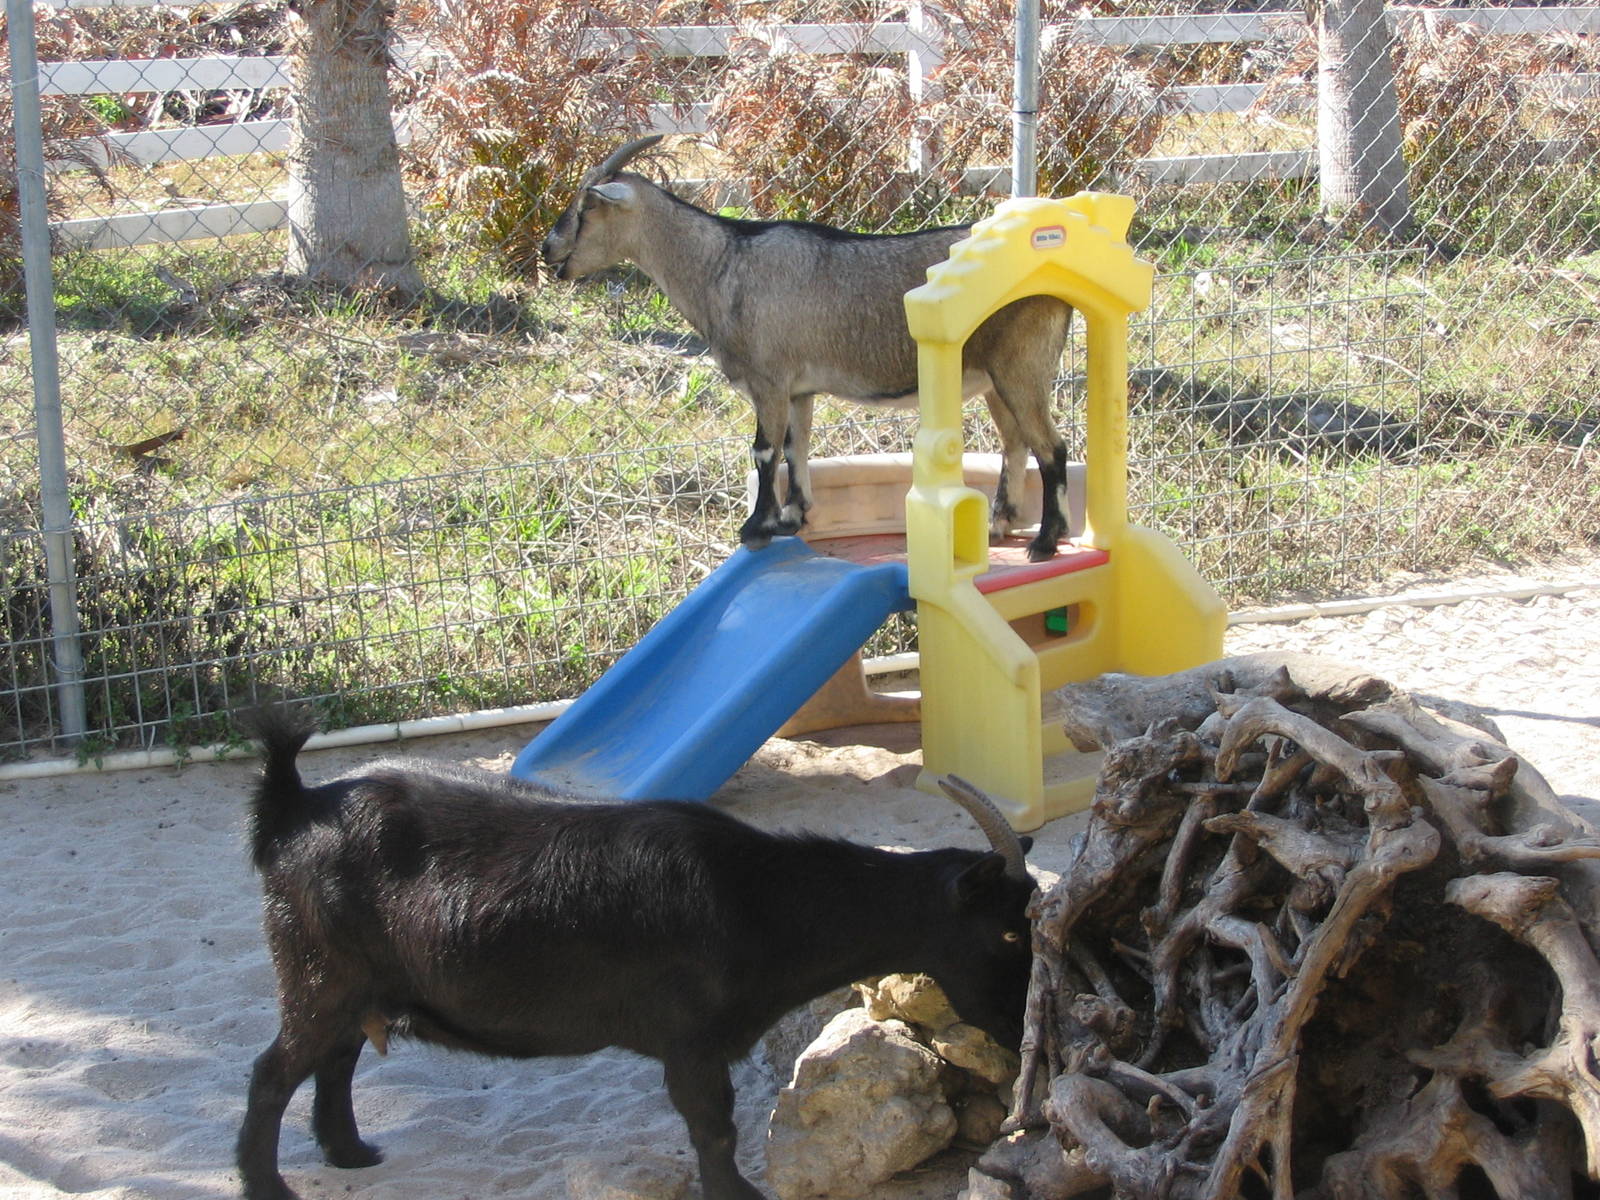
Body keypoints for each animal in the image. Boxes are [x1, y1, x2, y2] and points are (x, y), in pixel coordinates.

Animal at [235, 706, 1035, 1200]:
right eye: (1006, 932)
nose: (1019, 1026)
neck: (759, 899)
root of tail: (291, 810)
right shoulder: (689, 1039)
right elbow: (713, 1126)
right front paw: (738, 1194)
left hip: (354, 982)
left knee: (335, 1059)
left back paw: (349, 1153)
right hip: (318, 974)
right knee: (274, 1072)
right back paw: (269, 1184)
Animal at [541, 135, 1075, 563]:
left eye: (586, 207)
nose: (548, 250)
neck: (724, 265)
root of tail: (1051, 282)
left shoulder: (769, 380)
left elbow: (764, 450)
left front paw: (756, 527)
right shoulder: (799, 389)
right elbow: (796, 447)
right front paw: (794, 517)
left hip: (1022, 367)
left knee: (1052, 446)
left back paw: (1046, 541)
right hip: (993, 377)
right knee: (1016, 442)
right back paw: (1001, 522)